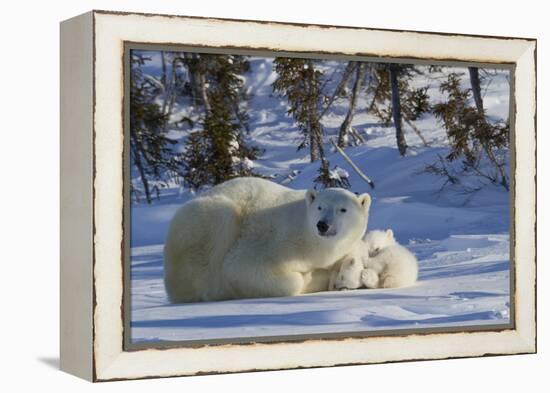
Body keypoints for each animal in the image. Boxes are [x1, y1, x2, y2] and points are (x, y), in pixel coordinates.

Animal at [162, 176, 374, 302]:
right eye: (320, 207)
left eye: (342, 209)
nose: (323, 225)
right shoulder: (274, 241)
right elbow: (241, 268)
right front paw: (313, 277)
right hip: (208, 222)